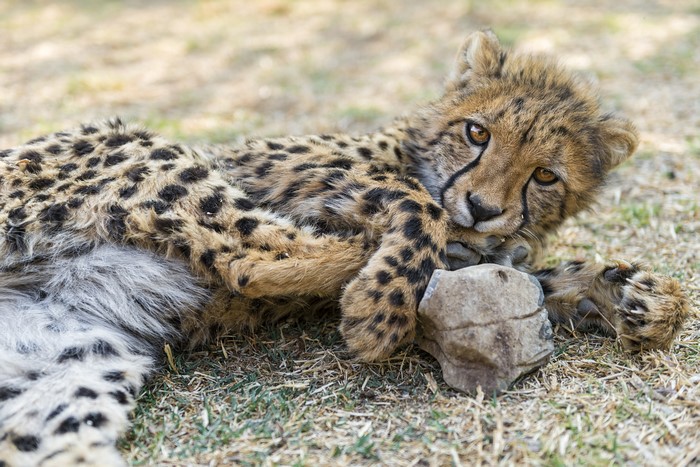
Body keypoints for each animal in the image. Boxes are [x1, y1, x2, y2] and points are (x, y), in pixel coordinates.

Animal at [0, 30, 689, 466]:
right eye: (477, 133)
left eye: (545, 175)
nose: (485, 207)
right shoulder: (295, 177)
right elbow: (419, 208)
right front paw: (379, 312)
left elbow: (532, 275)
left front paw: (641, 299)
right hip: (136, 147)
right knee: (254, 260)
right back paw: (359, 274)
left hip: (75, 366)